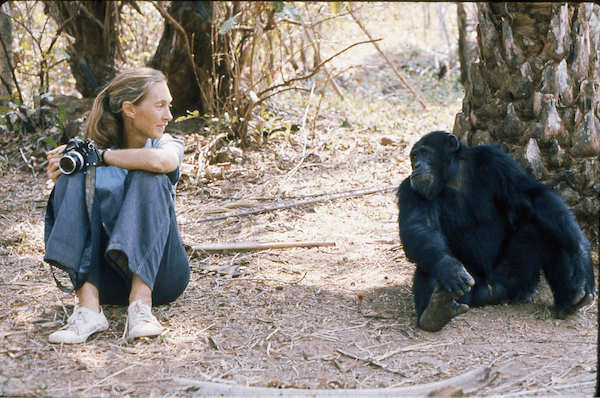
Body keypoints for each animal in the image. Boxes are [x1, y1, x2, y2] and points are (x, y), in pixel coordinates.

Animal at [398, 131, 596, 332]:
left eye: (424, 153)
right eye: (414, 157)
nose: (416, 165)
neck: (453, 177)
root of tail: (490, 290)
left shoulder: (497, 160)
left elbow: (535, 199)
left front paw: (582, 257)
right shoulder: (410, 189)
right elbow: (421, 227)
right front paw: (448, 268)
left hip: (516, 280)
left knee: (547, 232)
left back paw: (569, 300)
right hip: (470, 292)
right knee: (429, 258)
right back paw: (435, 312)